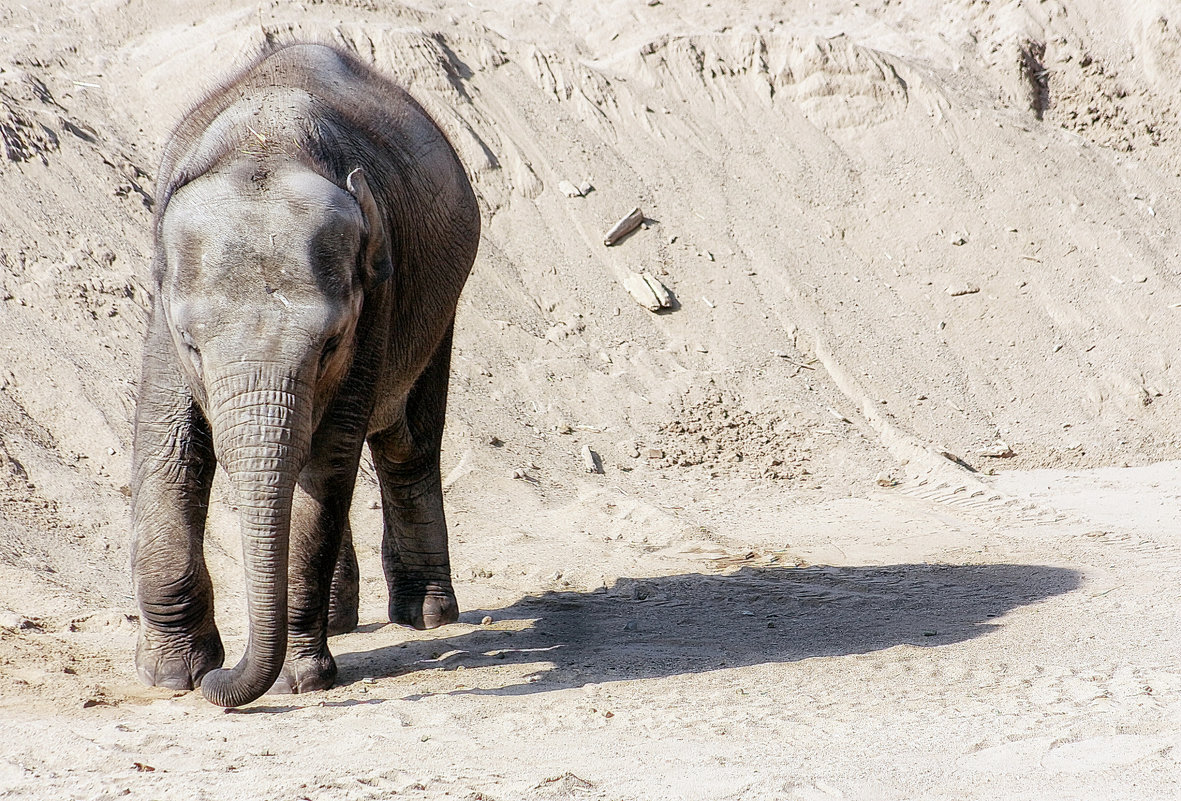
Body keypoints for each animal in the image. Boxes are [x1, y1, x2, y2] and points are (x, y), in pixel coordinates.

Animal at [129, 42, 479, 708]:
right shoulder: (160, 318)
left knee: (404, 444)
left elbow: (328, 463)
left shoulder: (374, 301)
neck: (264, 145)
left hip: (441, 308)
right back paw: (343, 621)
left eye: (331, 344)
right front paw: (170, 676)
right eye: (192, 343)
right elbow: (169, 451)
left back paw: (426, 616)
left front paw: (300, 681)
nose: (218, 683)